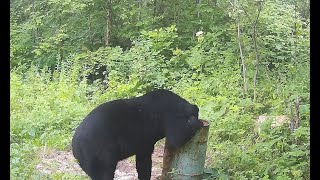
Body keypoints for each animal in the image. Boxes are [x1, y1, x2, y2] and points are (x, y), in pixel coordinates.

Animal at [72, 89, 202, 179]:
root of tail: (75, 145)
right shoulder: (168, 117)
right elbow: (177, 138)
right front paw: (197, 122)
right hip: (100, 152)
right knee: (105, 173)